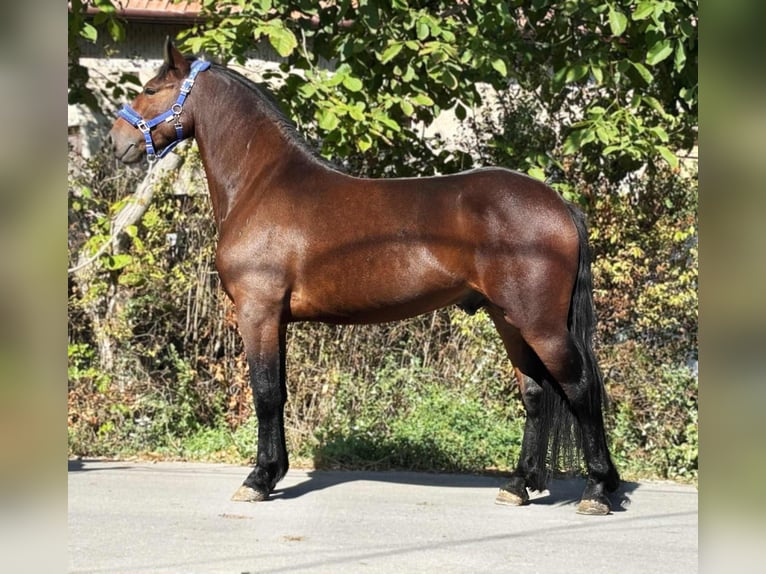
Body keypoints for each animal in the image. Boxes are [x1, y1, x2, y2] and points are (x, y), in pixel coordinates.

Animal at [108, 38, 620, 515]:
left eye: (150, 89)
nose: (117, 141)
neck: (262, 184)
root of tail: (559, 204)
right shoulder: (275, 320)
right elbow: (279, 392)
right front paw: (273, 472)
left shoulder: (258, 313)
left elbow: (266, 394)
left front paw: (259, 479)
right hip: (508, 320)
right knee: (535, 393)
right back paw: (519, 486)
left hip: (540, 323)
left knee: (580, 387)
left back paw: (597, 489)